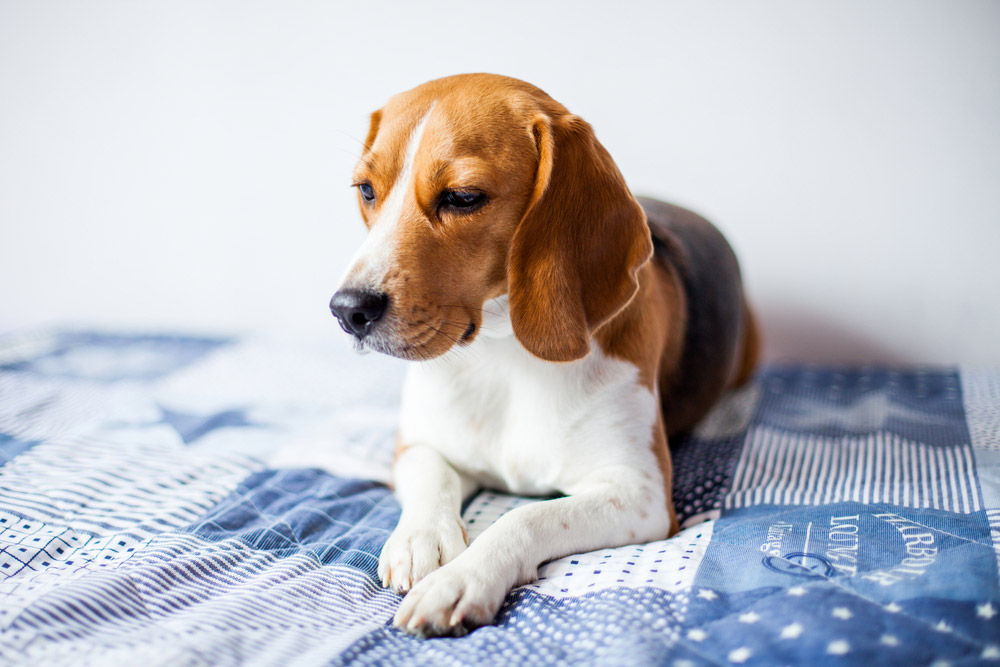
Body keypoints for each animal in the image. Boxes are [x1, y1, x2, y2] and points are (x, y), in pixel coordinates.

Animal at [328, 72, 756, 636]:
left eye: (463, 197)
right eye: (366, 190)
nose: (346, 309)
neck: (503, 353)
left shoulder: (640, 495)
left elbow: (525, 516)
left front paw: (459, 579)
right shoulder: (415, 444)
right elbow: (432, 475)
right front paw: (421, 540)